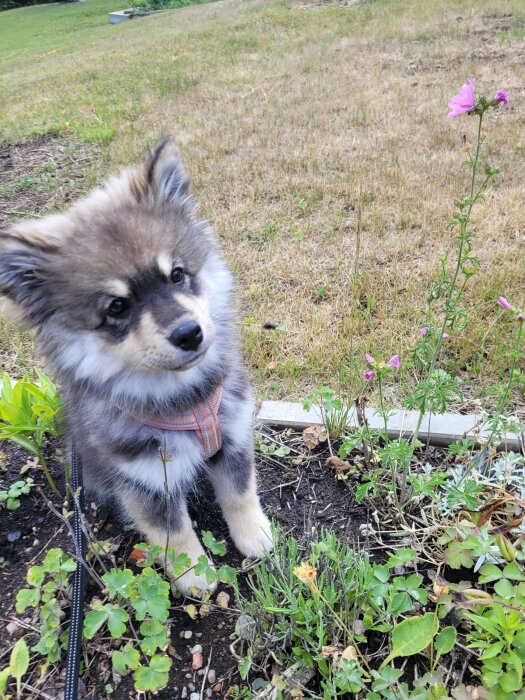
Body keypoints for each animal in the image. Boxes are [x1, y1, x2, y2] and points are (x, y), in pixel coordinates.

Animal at [0, 137, 270, 592]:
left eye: (177, 275)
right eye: (117, 307)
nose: (189, 333)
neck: (187, 400)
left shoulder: (233, 434)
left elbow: (240, 491)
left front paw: (256, 535)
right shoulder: (144, 481)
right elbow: (174, 533)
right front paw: (194, 575)